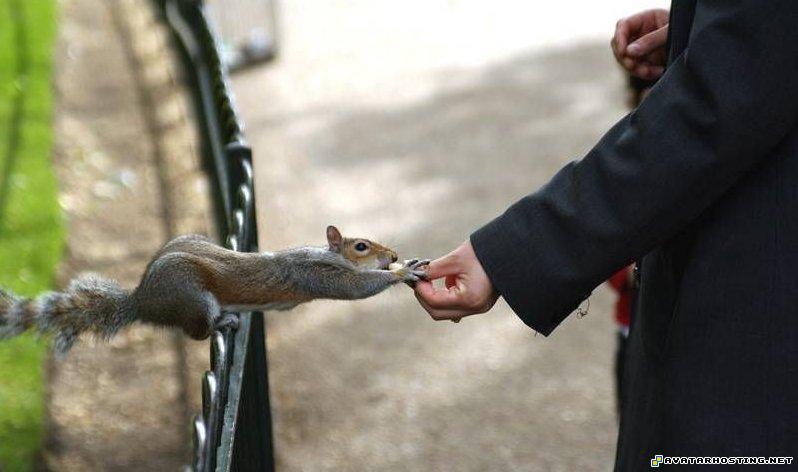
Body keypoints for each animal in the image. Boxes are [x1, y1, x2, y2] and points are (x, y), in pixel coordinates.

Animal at [0, 226, 428, 355]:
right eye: (361, 246)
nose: (393, 254)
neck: (327, 256)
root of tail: (143, 300)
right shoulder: (313, 276)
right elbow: (355, 288)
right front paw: (401, 272)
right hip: (194, 300)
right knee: (195, 331)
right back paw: (222, 323)